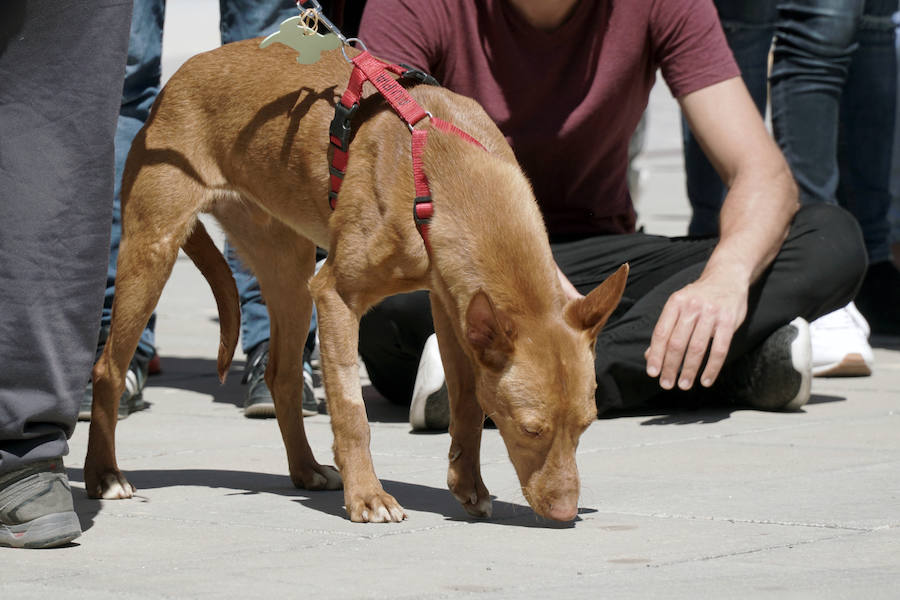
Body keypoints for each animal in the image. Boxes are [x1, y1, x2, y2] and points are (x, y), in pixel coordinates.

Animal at [88, 39, 628, 524]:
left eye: (586, 426)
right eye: (530, 429)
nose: (565, 514)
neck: (445, 171)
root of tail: (177, 78)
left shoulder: (451, 304)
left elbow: (468, 402)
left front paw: (467, 485)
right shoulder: (335, 296)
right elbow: (351, 411)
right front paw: (368, 497)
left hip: (288, 269)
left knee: (283, 375)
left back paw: (305, 469)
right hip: (153, 250)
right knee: (106, 369)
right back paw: (104, 476)